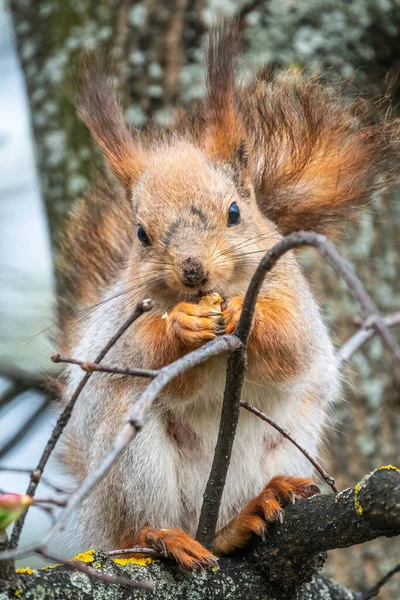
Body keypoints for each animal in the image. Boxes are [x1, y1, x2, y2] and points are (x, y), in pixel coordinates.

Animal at [57, 22, 398, 568]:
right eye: (141, 234)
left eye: (235, 212)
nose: (193, 269)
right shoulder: (122, 326)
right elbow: (144, 354)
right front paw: (182, 326)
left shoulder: (291, 293)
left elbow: (294, 346)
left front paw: (244, 314)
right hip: (130, 460)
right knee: (144, 523)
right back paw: (166, 537)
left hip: (284, 443)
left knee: (227, 525)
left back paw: (253, 511)